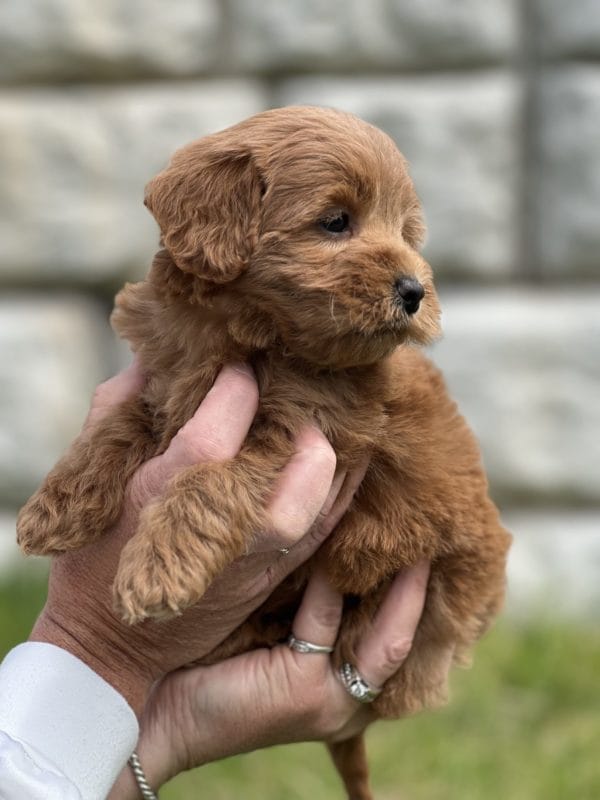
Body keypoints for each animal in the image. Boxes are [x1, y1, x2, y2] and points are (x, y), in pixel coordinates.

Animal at [21, 108, 512, 800]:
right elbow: (119, 423)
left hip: (458, 572)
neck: (250, 334)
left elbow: (210, 480)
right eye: (336, 221)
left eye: (406, 233)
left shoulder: (303, 431)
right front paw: (56, 507)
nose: (415, 290)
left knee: (431, 648)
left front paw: (157, 569)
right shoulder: (165, 379)